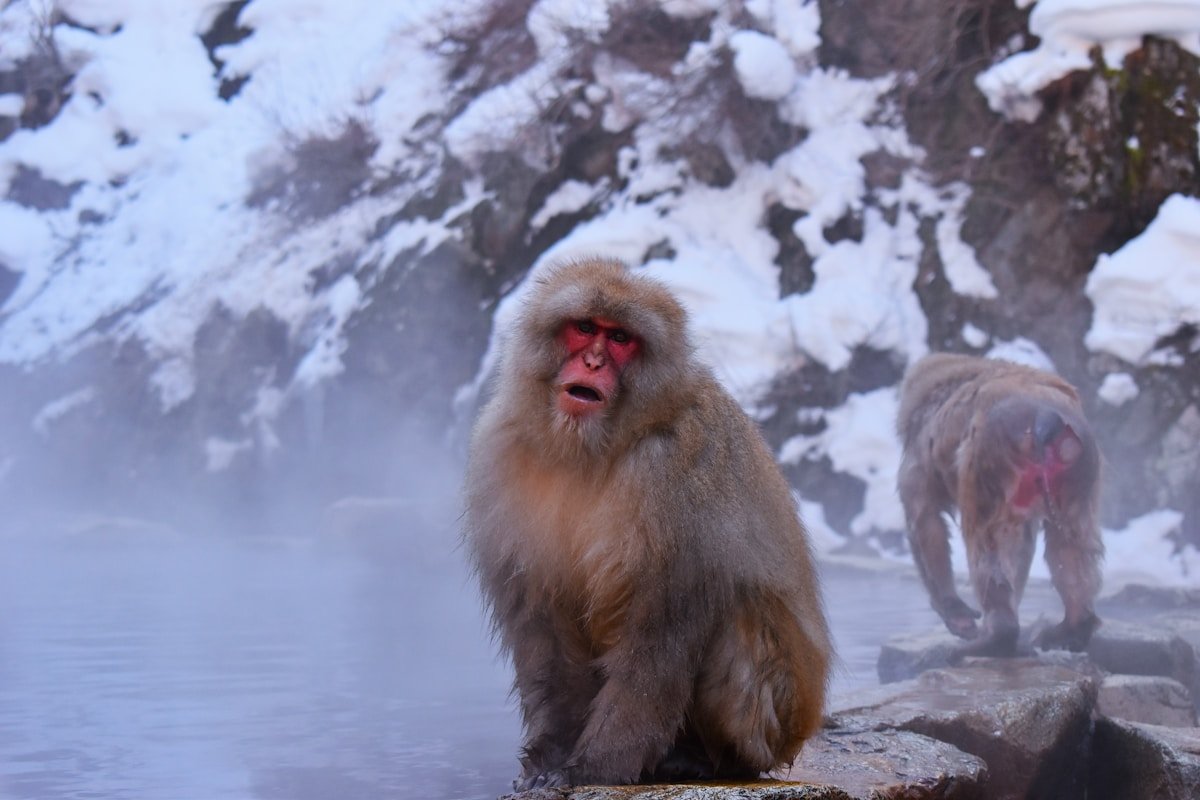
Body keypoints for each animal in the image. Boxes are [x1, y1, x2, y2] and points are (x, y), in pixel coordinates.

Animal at [464, 258, 831, 790]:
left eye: (620, 338)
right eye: (585, 328)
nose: (593, 363)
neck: (595, 448)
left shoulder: (673, 476)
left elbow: (657, 636)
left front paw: (594, 767)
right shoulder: (503, 452)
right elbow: (544, 627)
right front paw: (550, 755)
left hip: (774, 717)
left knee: (732, 607)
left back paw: (708, 760)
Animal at [896, 352, 1104, 656]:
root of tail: (1045, 417)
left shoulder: (919, 458)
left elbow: (924, 521)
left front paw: (953, 610)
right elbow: (1025, 543)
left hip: (989, 456)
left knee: (985, 541)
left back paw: (997, 635)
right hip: (1080, 466)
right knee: (1070, 542)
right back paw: (1074, 628)